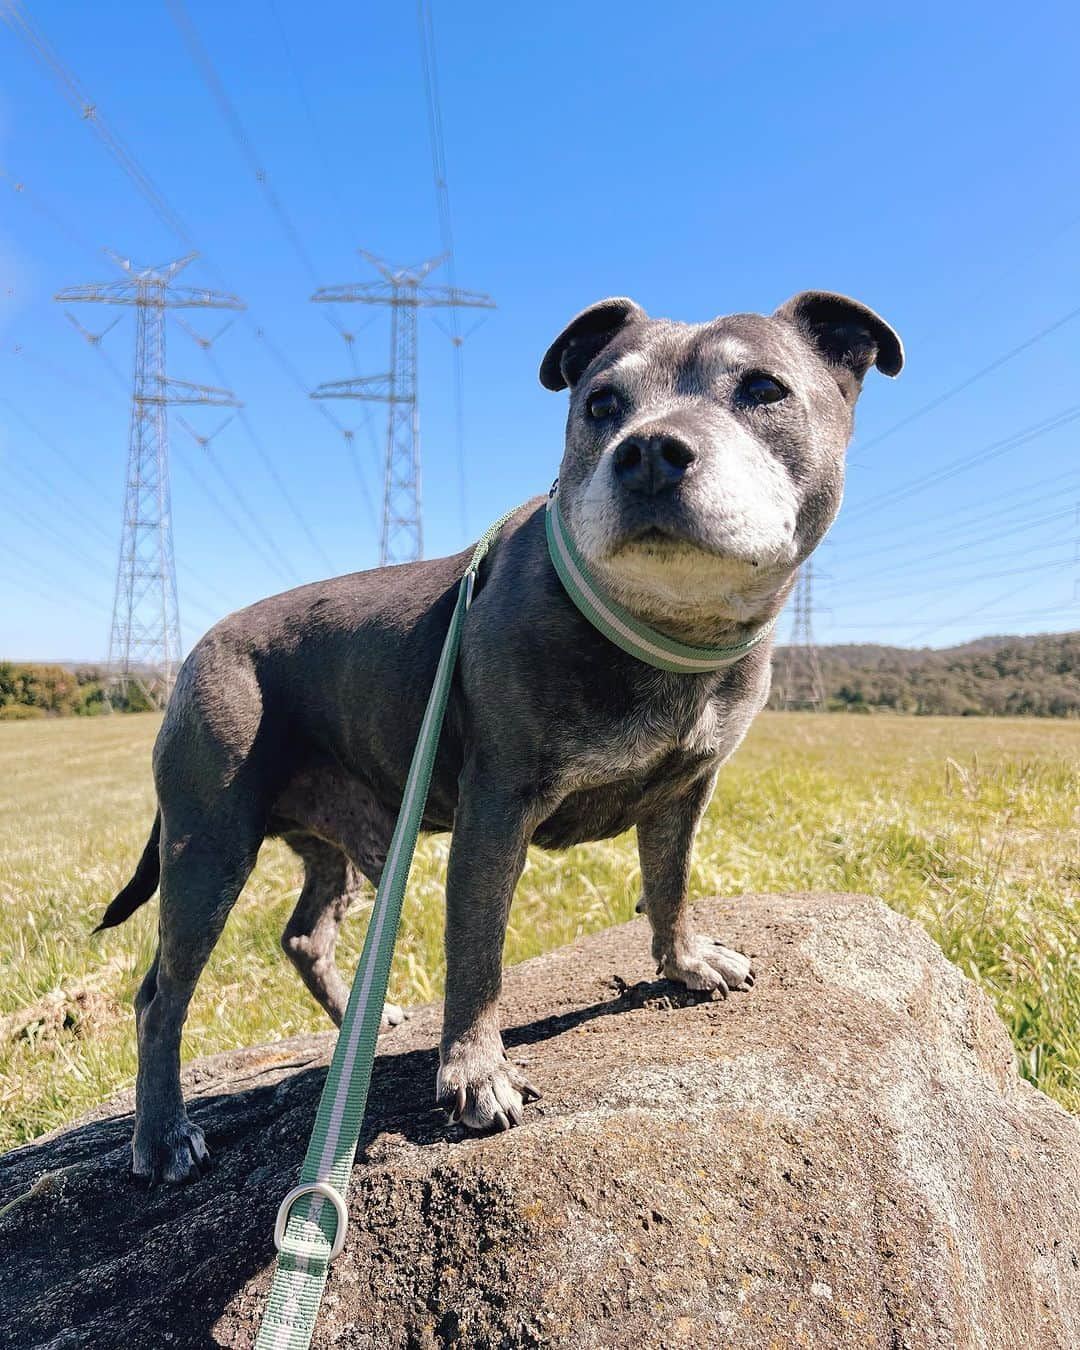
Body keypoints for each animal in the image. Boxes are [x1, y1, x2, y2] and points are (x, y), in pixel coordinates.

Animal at [97, 287, 901, 1182]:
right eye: (601, 404)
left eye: (764, 389)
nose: (649, 451)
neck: (658, 629)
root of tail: (199, 646)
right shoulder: (495, 815)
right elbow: (477, 954)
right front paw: (476, 1074)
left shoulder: (687, 792)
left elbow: (671, 883)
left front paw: (686, 960)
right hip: (208, 847)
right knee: (159, 997)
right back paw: (163, 1133)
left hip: (338, 846)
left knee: (304, 936)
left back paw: (364, 1022)